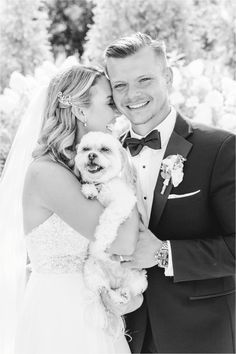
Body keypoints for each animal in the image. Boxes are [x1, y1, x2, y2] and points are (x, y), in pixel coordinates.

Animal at [74, 131, 148, 312]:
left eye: (105, 149)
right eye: (86, 149)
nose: (91, 155)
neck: (102, 183)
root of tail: (115, 279)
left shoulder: (123, 201)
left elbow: (108, 216)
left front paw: (102, 237)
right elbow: (88, 185)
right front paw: (89, 191)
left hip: (138, 278)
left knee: (130, 290)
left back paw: (124, 295)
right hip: (92, 271)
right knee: (105, 290)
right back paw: (117, 296)